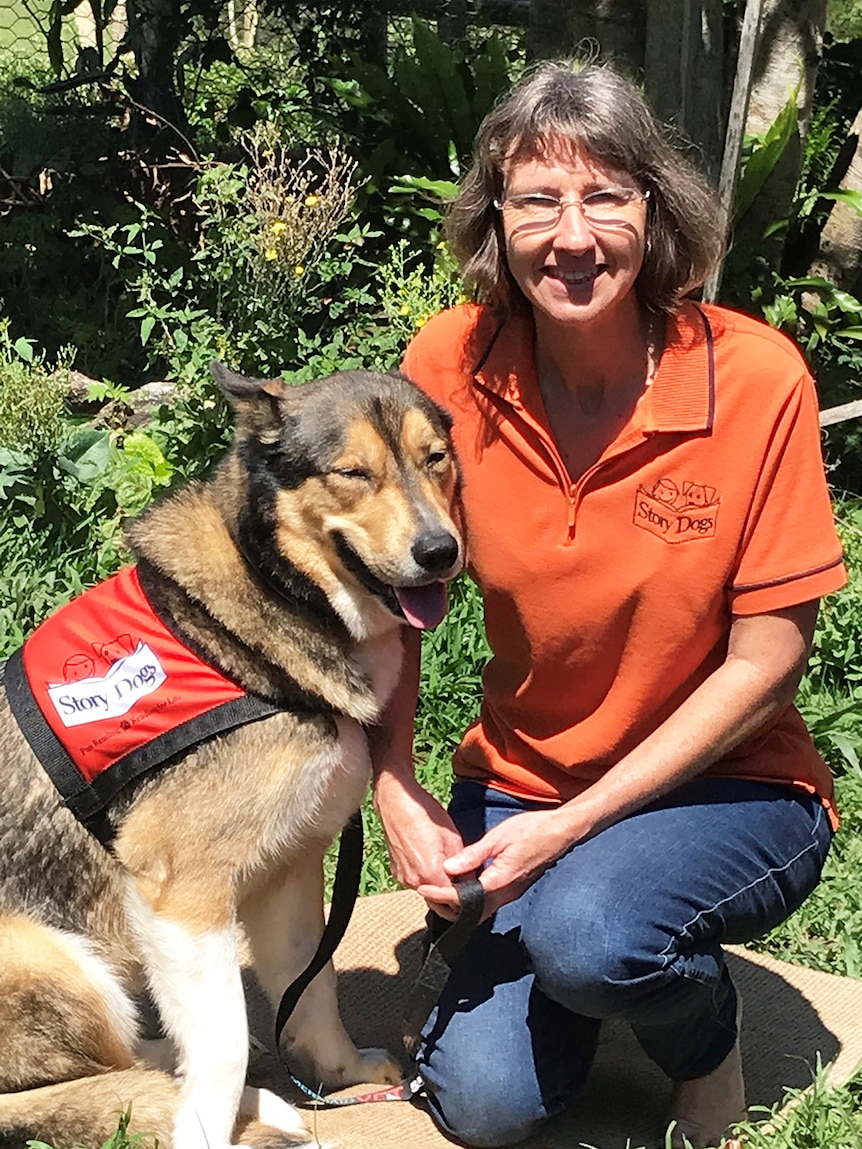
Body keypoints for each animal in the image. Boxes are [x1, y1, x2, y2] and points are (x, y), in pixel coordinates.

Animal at [0, 365, 466, 1149]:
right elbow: (223, 1042)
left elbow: (312, 988)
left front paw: (337, 1073)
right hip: (47, 954)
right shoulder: (178, 891)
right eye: (352, 473)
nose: (441, 551)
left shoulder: (288, 868)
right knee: (77, 1075)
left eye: (436, 459)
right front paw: (205, 1127)